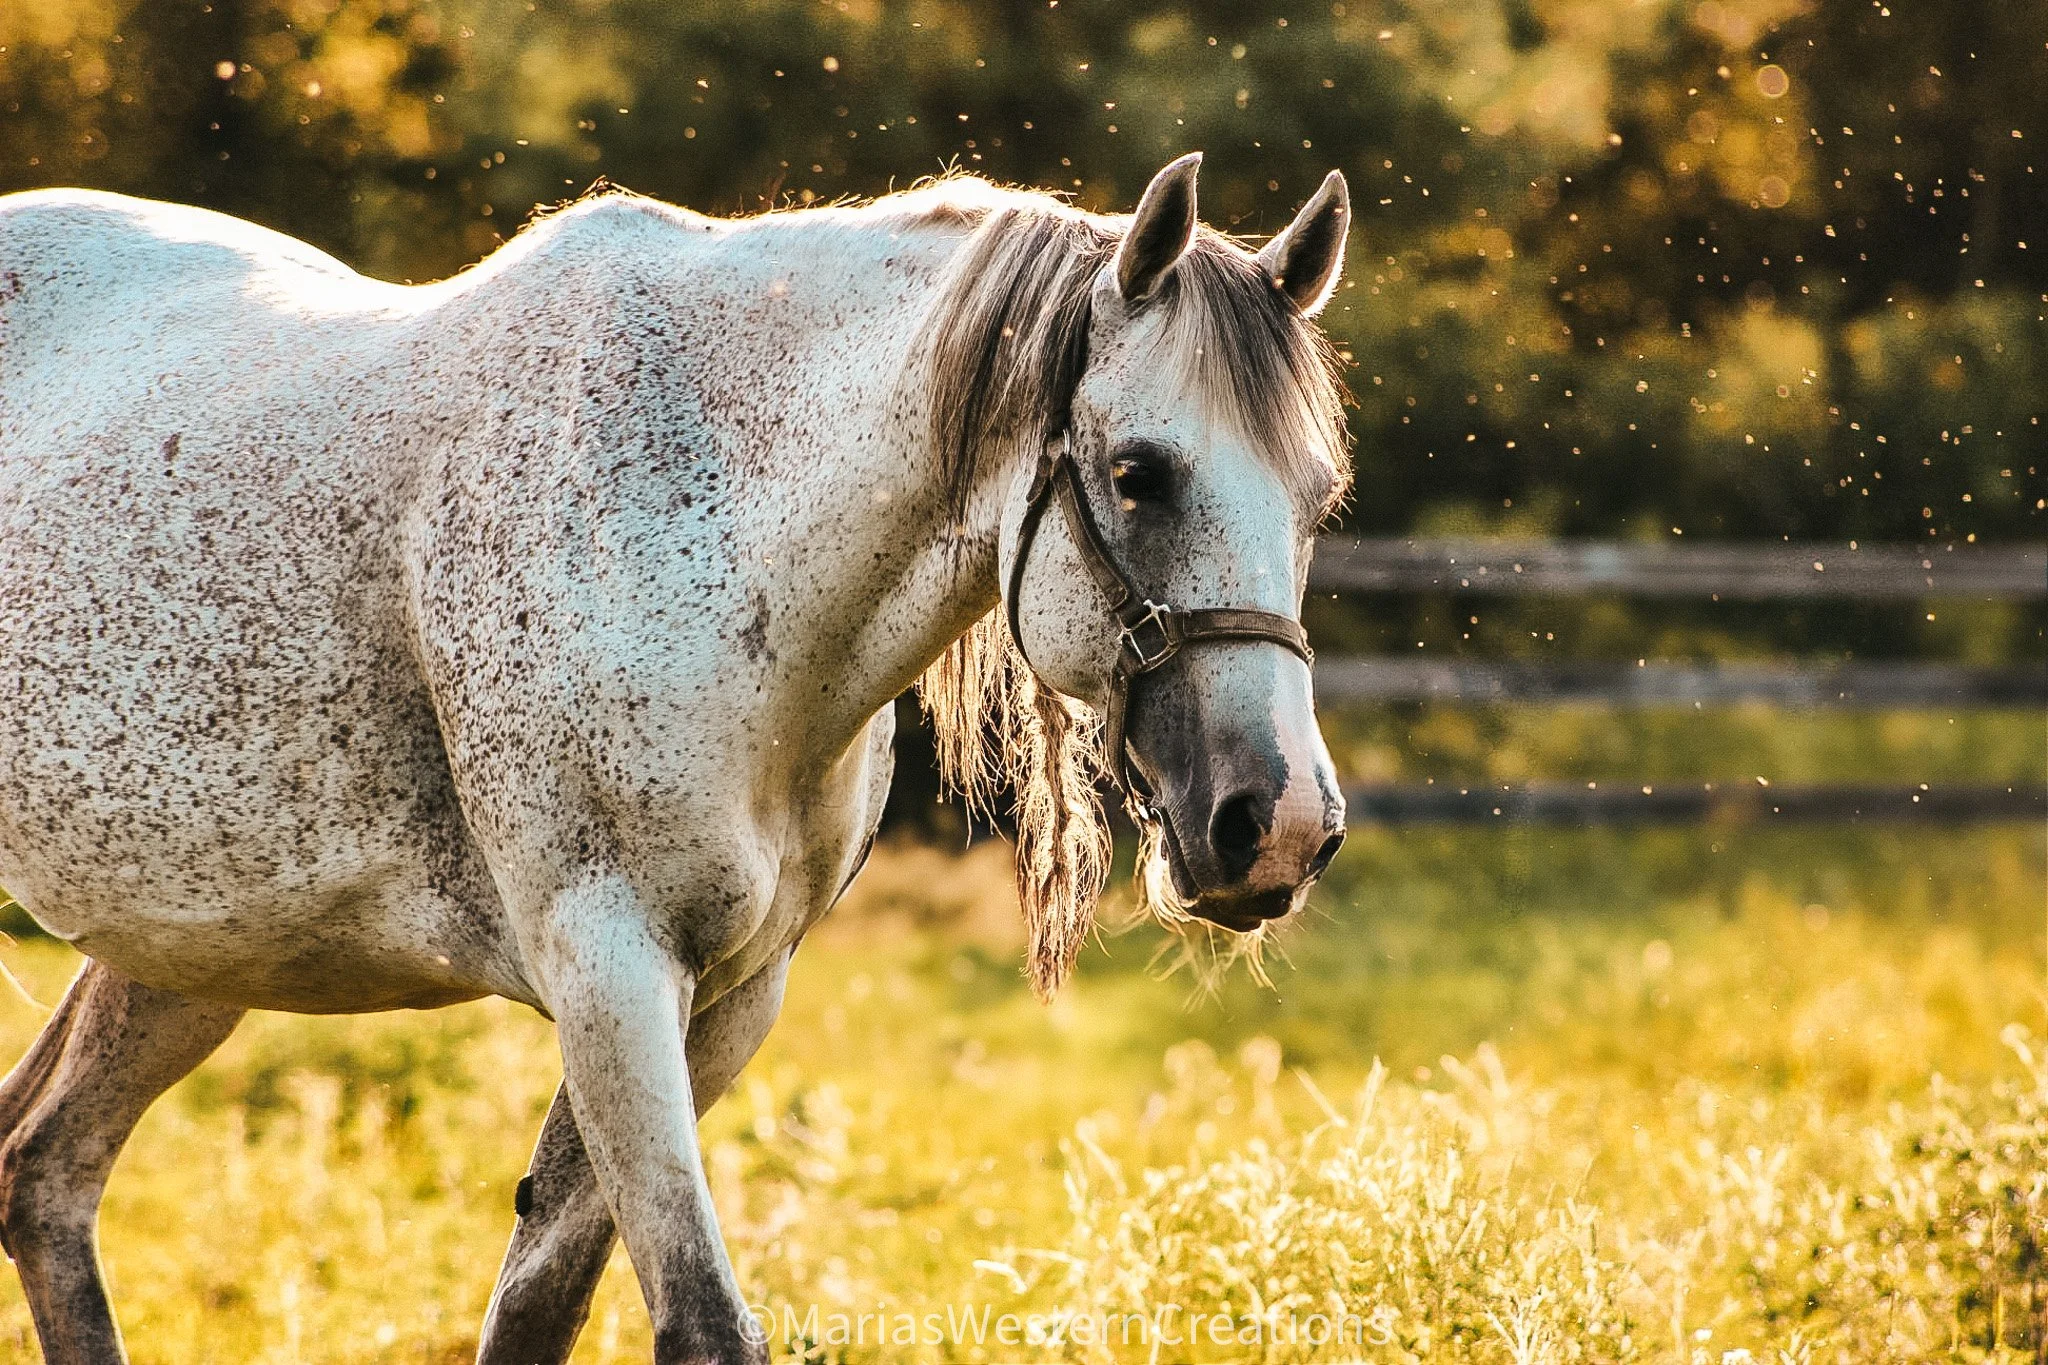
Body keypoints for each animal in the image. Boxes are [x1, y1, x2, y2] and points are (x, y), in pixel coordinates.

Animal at [0, 151, 1352, 1363]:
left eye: (1316, 497)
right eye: (1137, 474)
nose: (1276, 824)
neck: (712, 527)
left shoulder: (730, 996)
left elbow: (540, 1301)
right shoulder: (608, 968)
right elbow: (698, 1321)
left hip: (187, 947)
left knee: (43, 1166)